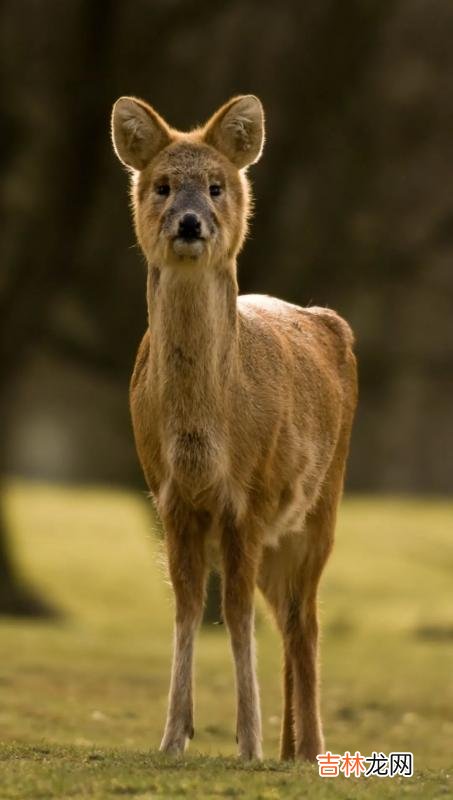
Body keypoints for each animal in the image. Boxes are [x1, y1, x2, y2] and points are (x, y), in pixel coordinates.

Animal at [110, 94, 356, 764]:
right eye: (163, 185)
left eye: (217, 185)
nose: (190, 223)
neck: (204, 436)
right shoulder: (168, 494)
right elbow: (189, 606)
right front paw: (174, 736)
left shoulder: (249, 494)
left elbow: (236, 613)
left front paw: (247, 742)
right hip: (278, 534)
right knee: (288, 616)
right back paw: (292, 748)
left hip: (321, 503)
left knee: (305, 617)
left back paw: (308, 749)